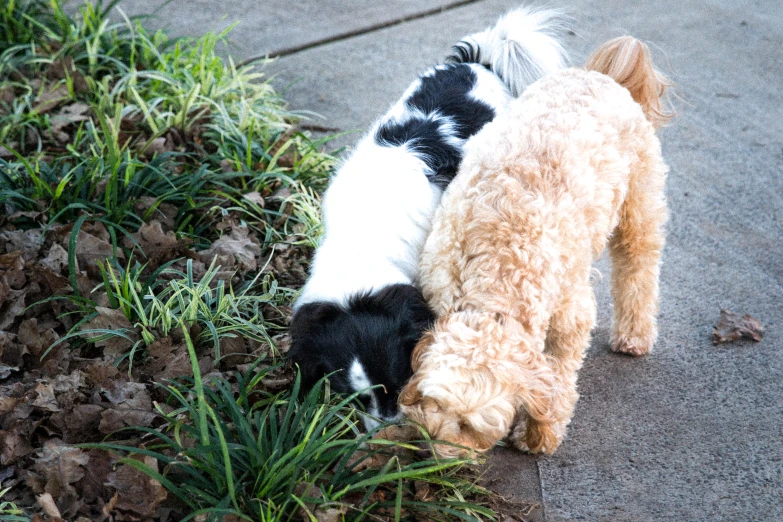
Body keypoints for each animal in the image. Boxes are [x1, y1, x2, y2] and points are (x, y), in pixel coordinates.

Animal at [398, 35, 672, 456]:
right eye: (434, 404)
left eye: (469, 427)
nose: (430, 458)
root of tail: (600, 75)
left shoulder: (570, 318)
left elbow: (558, 378)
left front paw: (539, 434)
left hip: (638, 211)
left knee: (638, 269)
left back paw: (634, 335)